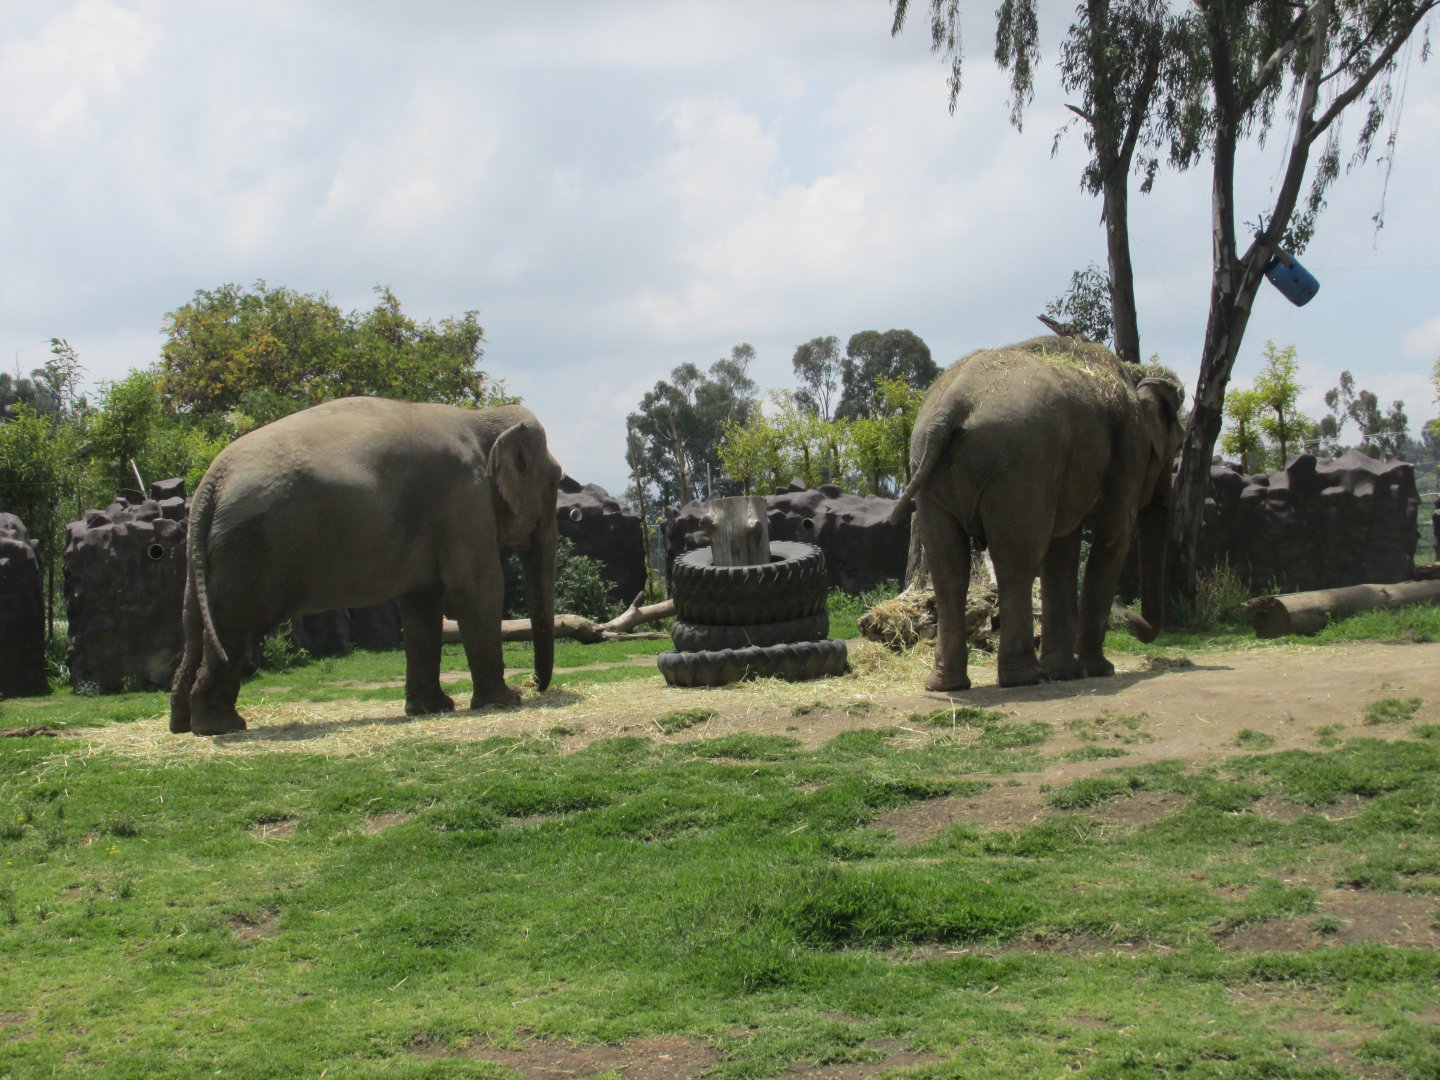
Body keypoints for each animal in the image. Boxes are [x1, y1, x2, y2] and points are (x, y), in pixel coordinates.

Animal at [169, 397, 561, 736]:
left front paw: (431, 709)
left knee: (194, 624)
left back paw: (182, 724)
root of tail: (211, 482)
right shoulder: (465, 498)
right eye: (556, 480)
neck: (480, 417)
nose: (533, 684)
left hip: (206, 557)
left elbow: (422, 602)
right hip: (248, 551)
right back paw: (221, 727)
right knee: (233, 625)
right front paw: (505, 702)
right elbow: (477, 590)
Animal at [890, 335, 1186, 692]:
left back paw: (947, 685)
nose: (1130, 616)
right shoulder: (1129, 450)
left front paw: (1064, 672)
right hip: (1020, 467)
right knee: (1016, 562)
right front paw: (1099, 670)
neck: (1134, 372)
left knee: (949, 569)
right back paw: (1025, 678)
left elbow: (1063, 546)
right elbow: (1113, 535)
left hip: (929, 470)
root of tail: (953, 404)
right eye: (1178, 447)